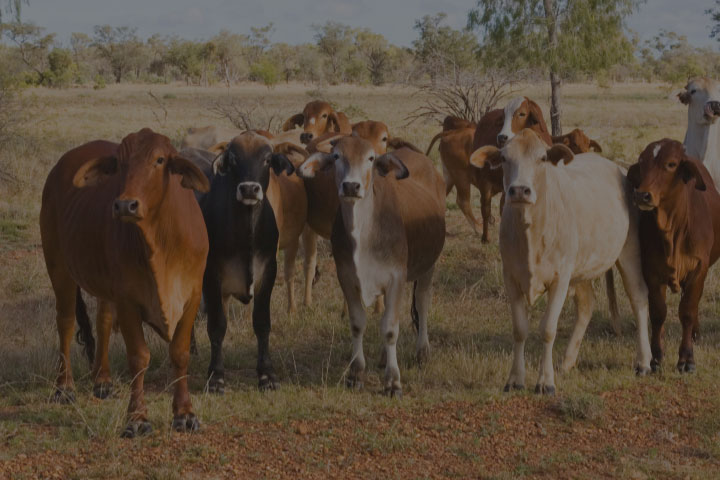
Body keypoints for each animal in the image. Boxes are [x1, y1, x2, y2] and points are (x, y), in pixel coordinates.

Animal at [40, 128, 208, 438]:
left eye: (160, 160)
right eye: (119, 163)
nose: (124, 205)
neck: (161, 244)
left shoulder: (192, 295)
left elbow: (179, 354)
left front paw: (185, 414)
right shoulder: (129, 301)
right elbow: (139, 357)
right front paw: (137, 418)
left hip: (104, 284)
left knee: (103, 320)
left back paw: (102, 381)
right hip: (58, 267)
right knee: (65, 322)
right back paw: (64, 387)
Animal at [193, 132, 294, 394]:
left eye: (267, 159)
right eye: (233, 159)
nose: (249, 189)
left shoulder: (267, 272)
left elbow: (262, 323)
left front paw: (267, 375)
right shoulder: (211, 277)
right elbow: (217, 326)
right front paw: (216, 377)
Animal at [296, 136, 444, 398]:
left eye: (371, 158)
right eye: (336, 156)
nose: (351, 186)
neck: (362, 233)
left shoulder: (396, 277)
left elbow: (390, 329)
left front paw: (393, 381)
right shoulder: (347, 277)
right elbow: (358, 323)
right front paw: (355, 373)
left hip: (428, 266)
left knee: (422, 303)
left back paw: (422, 352)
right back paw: (385, 357)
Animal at [470, 128, 656, 394]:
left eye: (542, 158)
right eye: (504, 158)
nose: (519, 190)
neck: (531, 232)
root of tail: (617, 168)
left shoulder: (559, 279)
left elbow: (548, 329)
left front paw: (545, 381)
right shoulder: (511, 278)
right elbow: (519, 329)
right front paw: (515, 379)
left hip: (629, 252)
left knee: (638, 298)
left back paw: (643, 362)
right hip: (580, 270)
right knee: (587, 306)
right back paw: (567, 361)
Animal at [624, 138, 720, 372]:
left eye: (671, 164)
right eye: (642, 161)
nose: (642, 194)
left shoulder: (699, 269)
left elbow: (687, 311)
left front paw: (686, 358)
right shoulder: (651, 271)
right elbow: (658, 312)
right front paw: (656, 356)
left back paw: (695, 333)